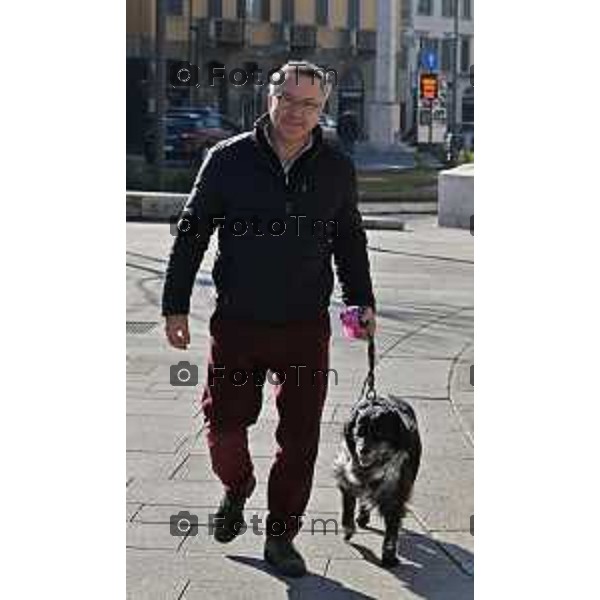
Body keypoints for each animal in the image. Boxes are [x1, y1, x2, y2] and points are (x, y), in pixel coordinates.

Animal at [332, 396, 422, 564]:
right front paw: (348, 528)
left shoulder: (396, 489)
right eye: (359, 431)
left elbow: (392, 523)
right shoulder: (346, 476)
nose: (363, 450)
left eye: (379, 433)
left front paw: (389, 555)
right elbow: (348, 504)